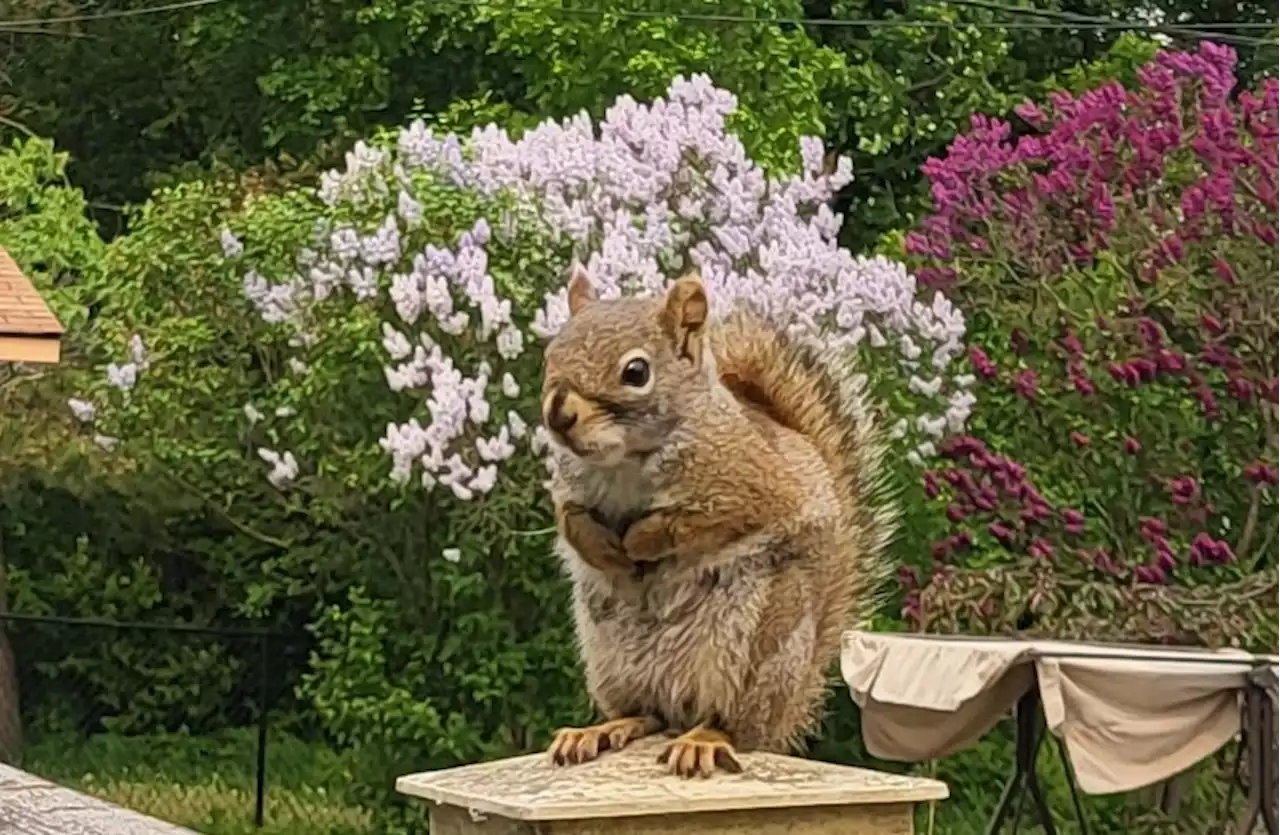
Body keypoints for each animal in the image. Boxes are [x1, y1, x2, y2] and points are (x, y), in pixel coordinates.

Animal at [537, 263, 890, 778]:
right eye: (550, 356)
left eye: (636, 372)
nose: (558, 414)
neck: (624, 462)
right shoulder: (570, 492)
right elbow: (572, 522)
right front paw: (604, 549)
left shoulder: (751, 487)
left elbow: (697, 523)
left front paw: (641, 540)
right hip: (606, 655)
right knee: (647, 713)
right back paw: (603, 729)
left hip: (763, 642)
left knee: (737, 726)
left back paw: (706, 738)